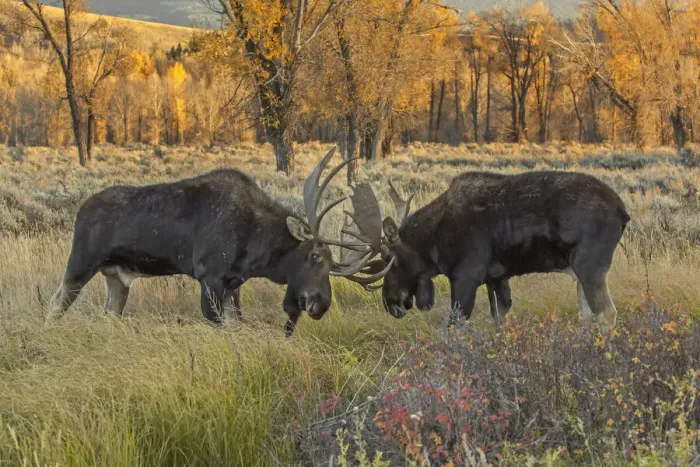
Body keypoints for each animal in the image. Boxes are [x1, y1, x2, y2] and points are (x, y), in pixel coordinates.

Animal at [47, 148, 390, 336]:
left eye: (332, 265)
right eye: (314, 256)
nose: (321, 303)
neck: (256, 249)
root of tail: (80, 209)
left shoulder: (233, 284)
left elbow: (236, 322)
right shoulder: (208, 276)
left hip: (117, 277)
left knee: (108, 313)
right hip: (80, 264)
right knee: (55, 303)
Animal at [356, 171, 631, 331]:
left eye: (389, 259)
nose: (389, 302)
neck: (434, 241)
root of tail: (623, 211)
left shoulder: (466, 277)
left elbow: (454, 328)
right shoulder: (496, 278)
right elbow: (499, 321)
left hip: (589, 265)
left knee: (606, 313)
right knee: (587, 315)